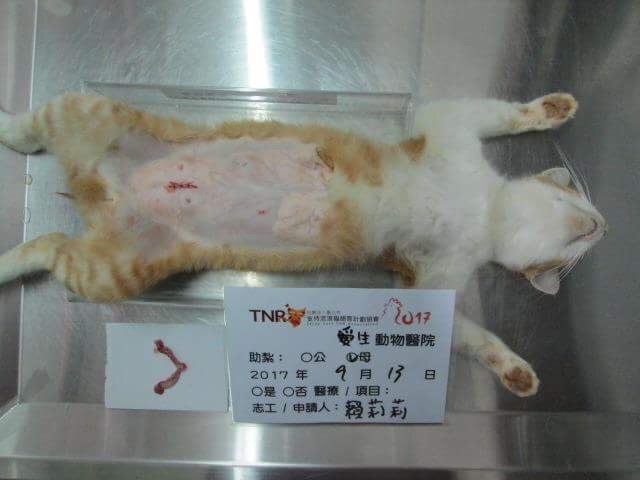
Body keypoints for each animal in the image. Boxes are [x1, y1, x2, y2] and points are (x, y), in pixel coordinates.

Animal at [0, 92, 606, 397]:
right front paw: (552, 108)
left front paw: (513, 370)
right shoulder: (450, 128)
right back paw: (8, 130)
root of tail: (98, 187)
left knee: (48, 245)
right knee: (30, 131)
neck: (485, 210)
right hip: (90, 112)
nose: (603, 226)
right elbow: (500, 111)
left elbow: (473, 336)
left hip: (118, 264)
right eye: (575, 193)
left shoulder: (434, 286)